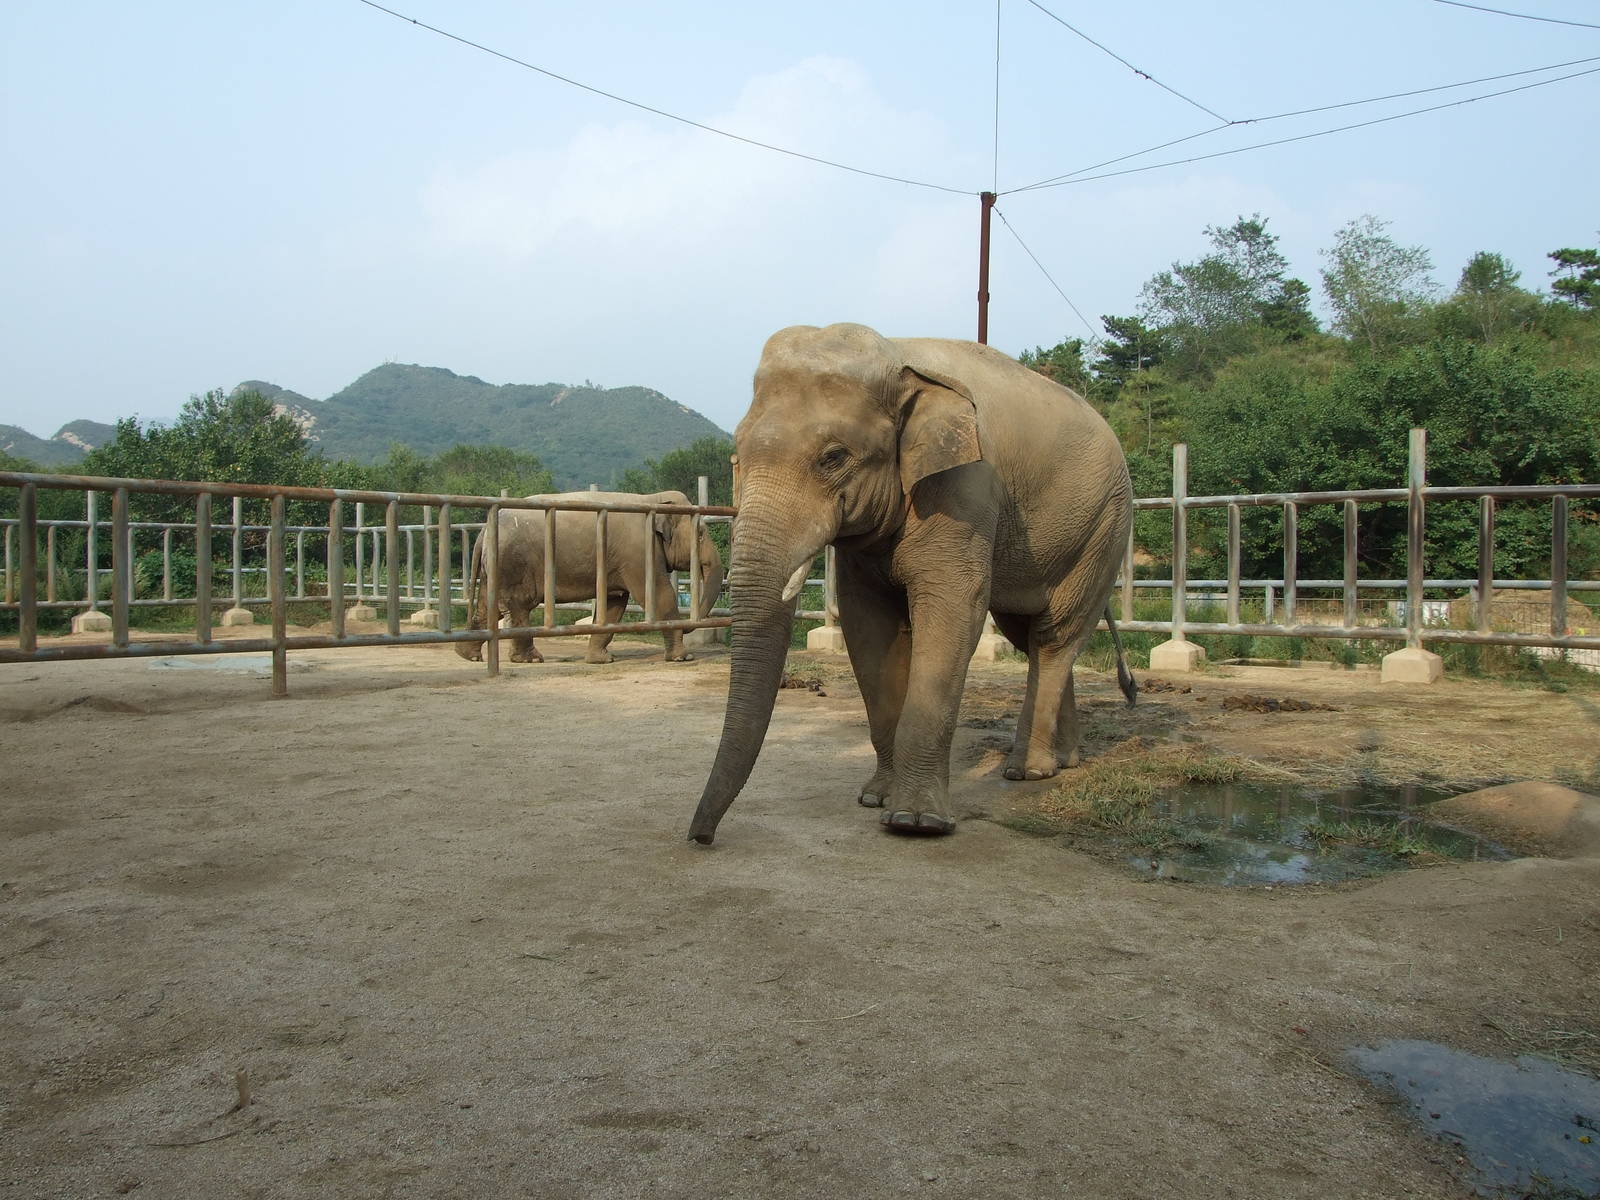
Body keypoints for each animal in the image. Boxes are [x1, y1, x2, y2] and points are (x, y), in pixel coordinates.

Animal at [454, 490, 725, 665]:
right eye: (701, 534)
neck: (652, 499)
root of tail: (484, 531)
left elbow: (614, 604)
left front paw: (601, 660)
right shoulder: (638, 551)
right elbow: (659, 594)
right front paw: (683, 657)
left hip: (496, 567)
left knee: (488, 606)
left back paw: (468, 655)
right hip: (514, 564)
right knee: (519, 606)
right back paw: (530, 659)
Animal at [688, 323, 1134, 844]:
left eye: (833, 457)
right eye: (736, 456)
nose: (700, 837)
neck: (898, 357)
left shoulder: (965, 486)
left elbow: (951, 610)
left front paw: (916, 822)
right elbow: (868, 624)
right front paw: (875, 798)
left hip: (1105, 527)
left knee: (1055, 634)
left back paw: (1029, 771)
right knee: (1029, 633)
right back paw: (1064, 761)